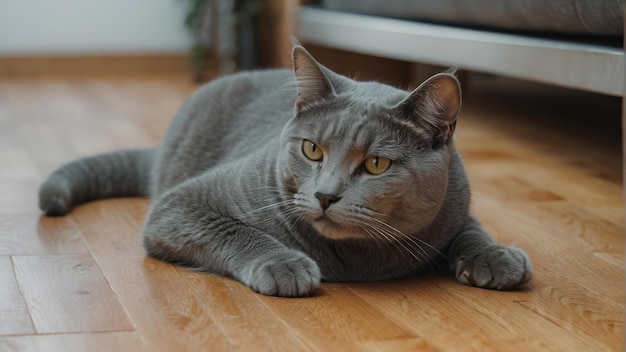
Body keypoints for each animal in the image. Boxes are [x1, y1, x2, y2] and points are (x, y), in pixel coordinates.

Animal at [39, 44, 528, 296]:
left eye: (376, 164)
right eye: (311, 150)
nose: (326, 195)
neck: (357, 259)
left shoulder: (454, 204)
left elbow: (471, 230)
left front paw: (495, 256)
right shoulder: (179, 206)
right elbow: (238, 230)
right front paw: (284, 264)